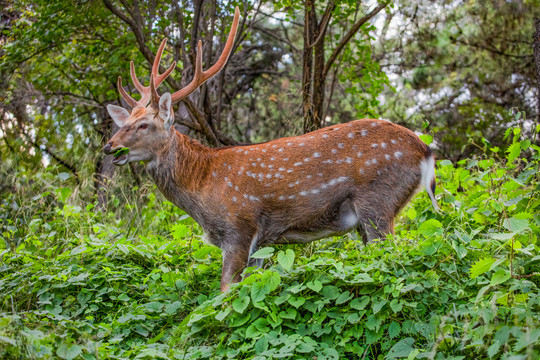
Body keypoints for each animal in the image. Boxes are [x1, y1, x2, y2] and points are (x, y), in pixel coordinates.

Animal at [102, 7, 438, 292]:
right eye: (124, 121)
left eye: (144, 125)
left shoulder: (240, 226)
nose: (109, 146)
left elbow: (225, 291)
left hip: (378, 200)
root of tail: (425, 150)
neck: (203, 185)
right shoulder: (261, 242)